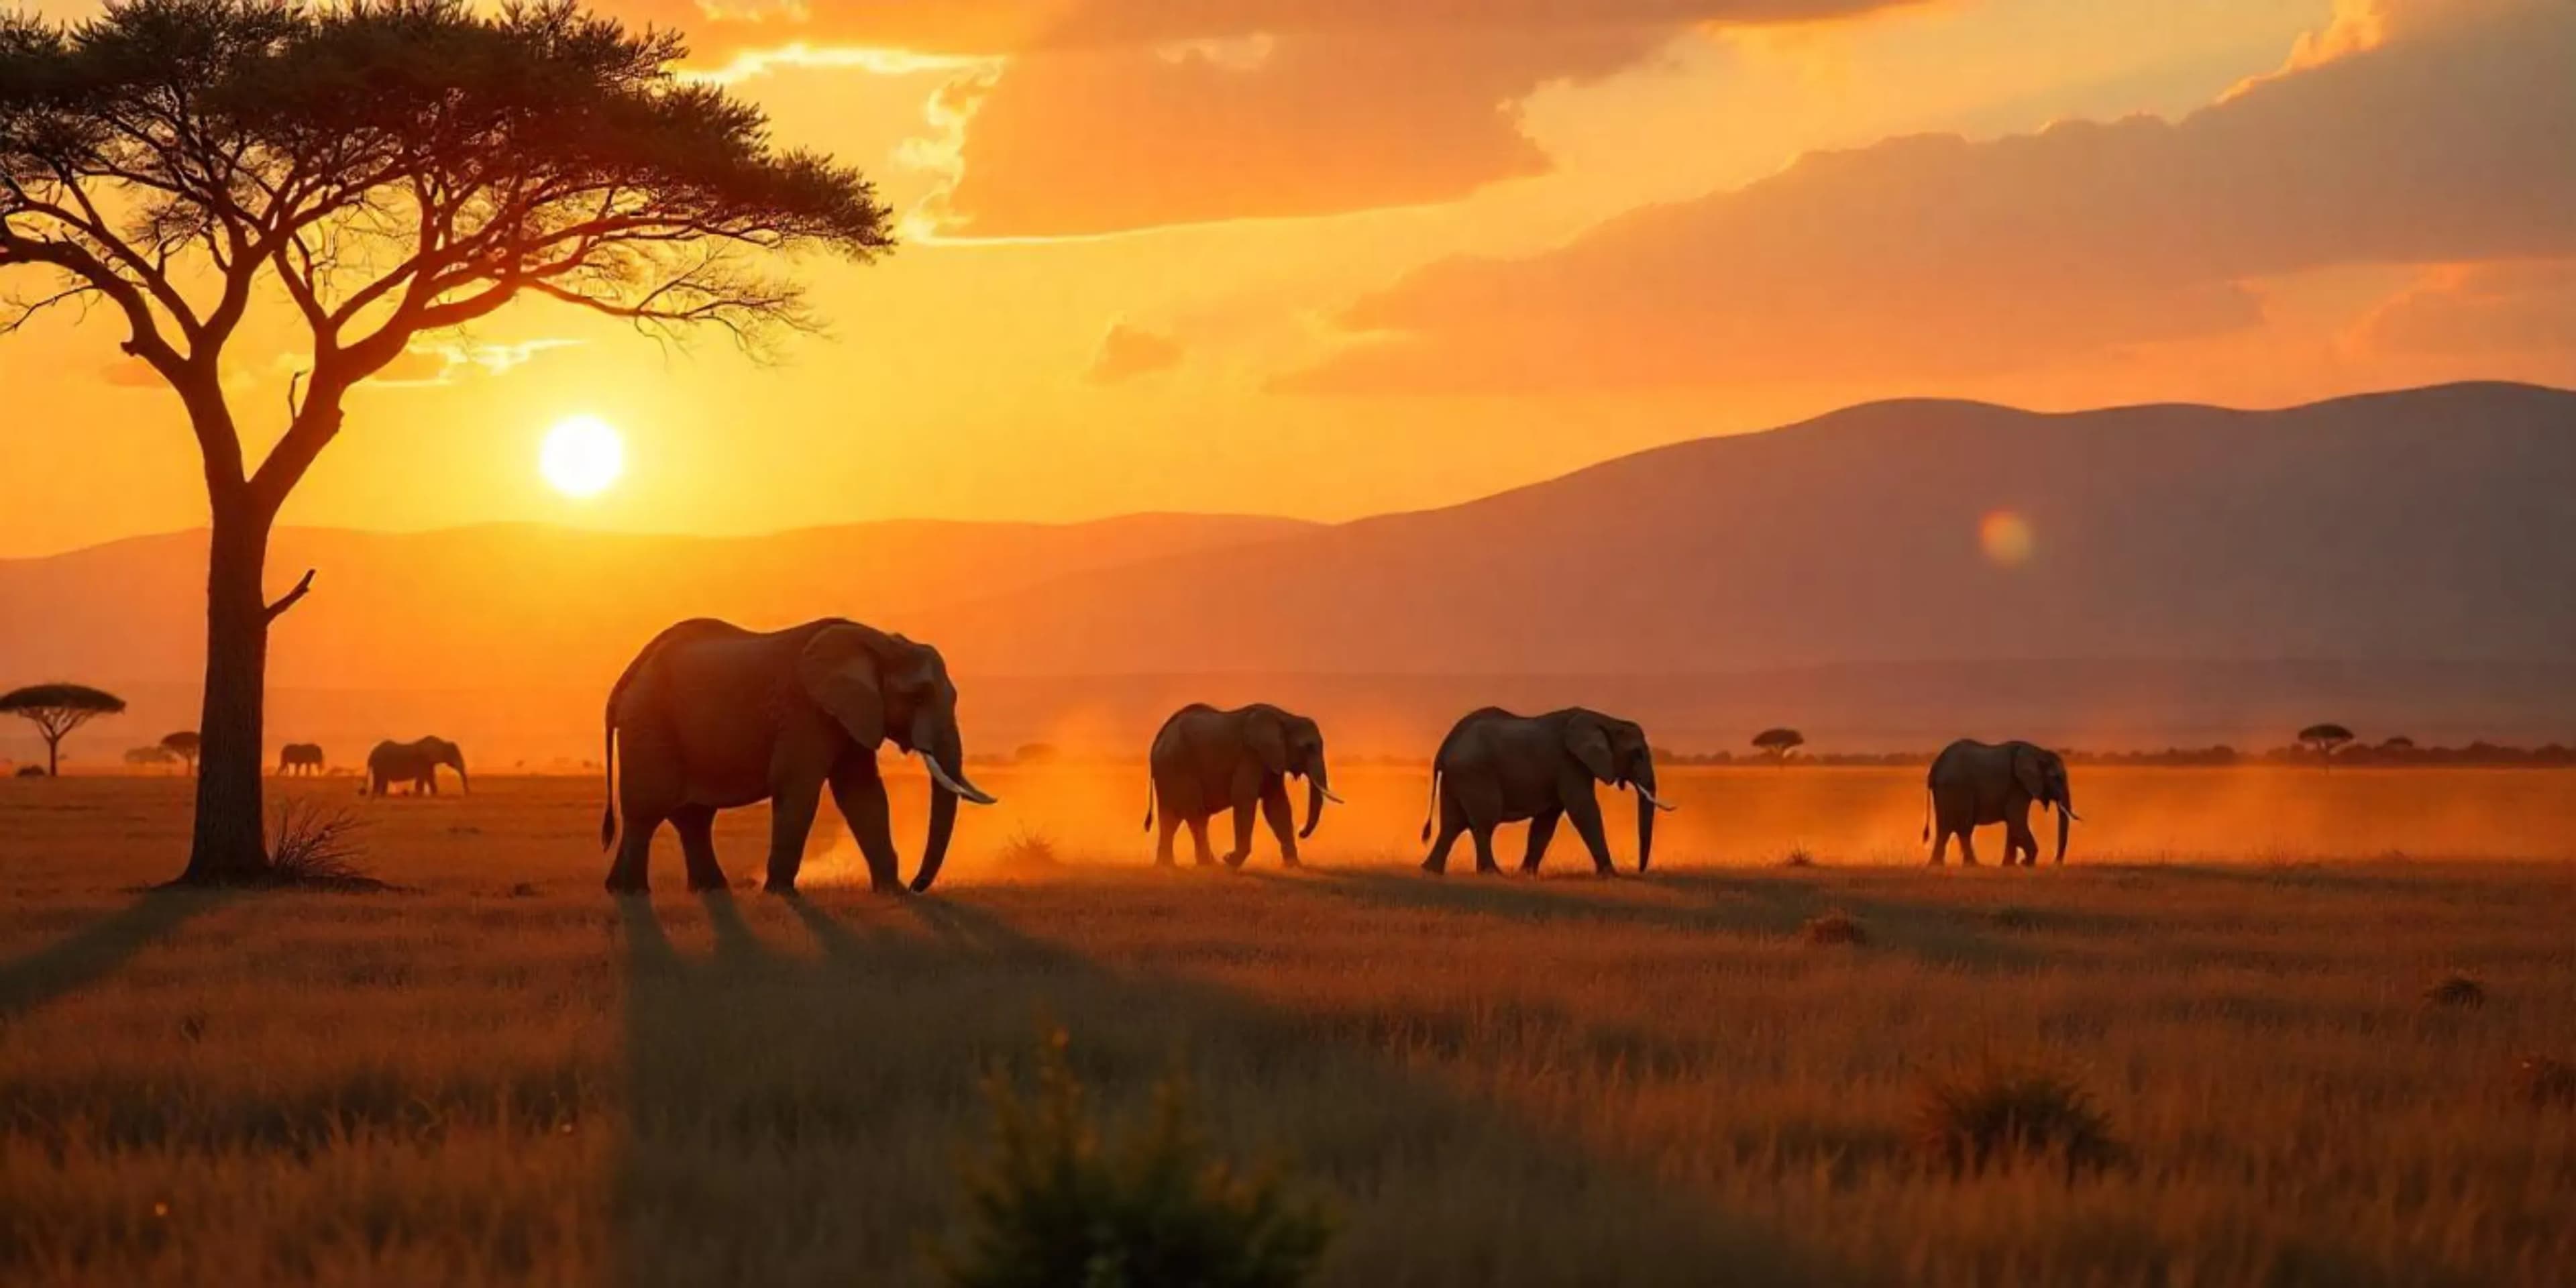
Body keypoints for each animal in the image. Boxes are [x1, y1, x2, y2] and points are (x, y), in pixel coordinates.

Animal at [365, 736, 466, 796]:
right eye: (454, 755)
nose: (467, 793)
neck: (442, 743)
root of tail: (371, 754)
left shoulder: (428, 763)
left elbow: (429, 777)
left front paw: (433, 794)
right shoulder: (423, 761)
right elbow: (424, 777)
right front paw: (420, 794)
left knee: (382, 780)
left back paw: (380, 795)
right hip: (380, 764)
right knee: (380, 779)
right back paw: (377, 794)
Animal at [599, 617, 999, 896]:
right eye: (918, 696)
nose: (918, 885)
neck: (876, 643)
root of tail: (627, 676)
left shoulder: (851, 716)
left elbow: (863, 794)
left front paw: (892, 893)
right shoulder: (805, 711)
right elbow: (799, 790)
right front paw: (780, 893)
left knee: (693, 818)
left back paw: (705, 889)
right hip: (649, 722)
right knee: (647, 810)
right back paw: (631, 893)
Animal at [1142, 703, 1343, 868]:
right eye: (1308, 747)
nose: (1302, 832)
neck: (1285, 717)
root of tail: (1157, 742)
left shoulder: (1271, 760)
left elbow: (1277, 806)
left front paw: (1294, 866)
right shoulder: (1250, 755)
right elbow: (1244, 799)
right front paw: (1230, 861)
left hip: (1168, 771)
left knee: (1171, 818)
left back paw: (1170, 866)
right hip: (1177, 767)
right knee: (1194, 814)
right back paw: (1207, 865)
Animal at [1420, 707, 1675, 877]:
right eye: (1637, 754)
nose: (1640, 871)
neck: (1605, 720)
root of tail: (1444, 749)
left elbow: (1546, 822)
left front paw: (1526, 875)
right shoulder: (1570, 762)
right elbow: (1584, 810)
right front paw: (1611, 875)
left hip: (1458, 777)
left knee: (1452, 824)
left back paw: (1432, 871)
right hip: (1475, 773)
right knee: (1483, 823)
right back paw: (1492, 873)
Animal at [1923, 739, 2080, 866]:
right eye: (2056, 778)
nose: (2055, 862)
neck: (2038, 753)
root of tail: (1935, 767)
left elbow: (2014, 824)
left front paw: (2010, 865)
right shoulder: (2017, 786)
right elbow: (2017, 821)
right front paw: (2026, 863)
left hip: (1945, 791)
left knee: (1945, 828)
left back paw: (1936, 865)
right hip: (1957, 788)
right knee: (1963, 828)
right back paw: (1974, 866)